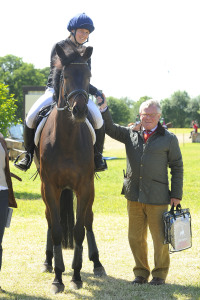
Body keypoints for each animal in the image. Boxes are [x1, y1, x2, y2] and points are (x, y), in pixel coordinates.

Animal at [35, 42, 106, 292]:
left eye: (88, 76)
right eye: (64, 75)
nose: (80, 111)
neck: (66, 137)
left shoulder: (84, 187)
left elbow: (78, 230)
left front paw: (75, 276)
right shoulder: (50, 187)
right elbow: (56, 229)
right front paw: (58, 277)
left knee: (88, 220)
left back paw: (97, 263)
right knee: (49, 219)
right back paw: (47, 261)